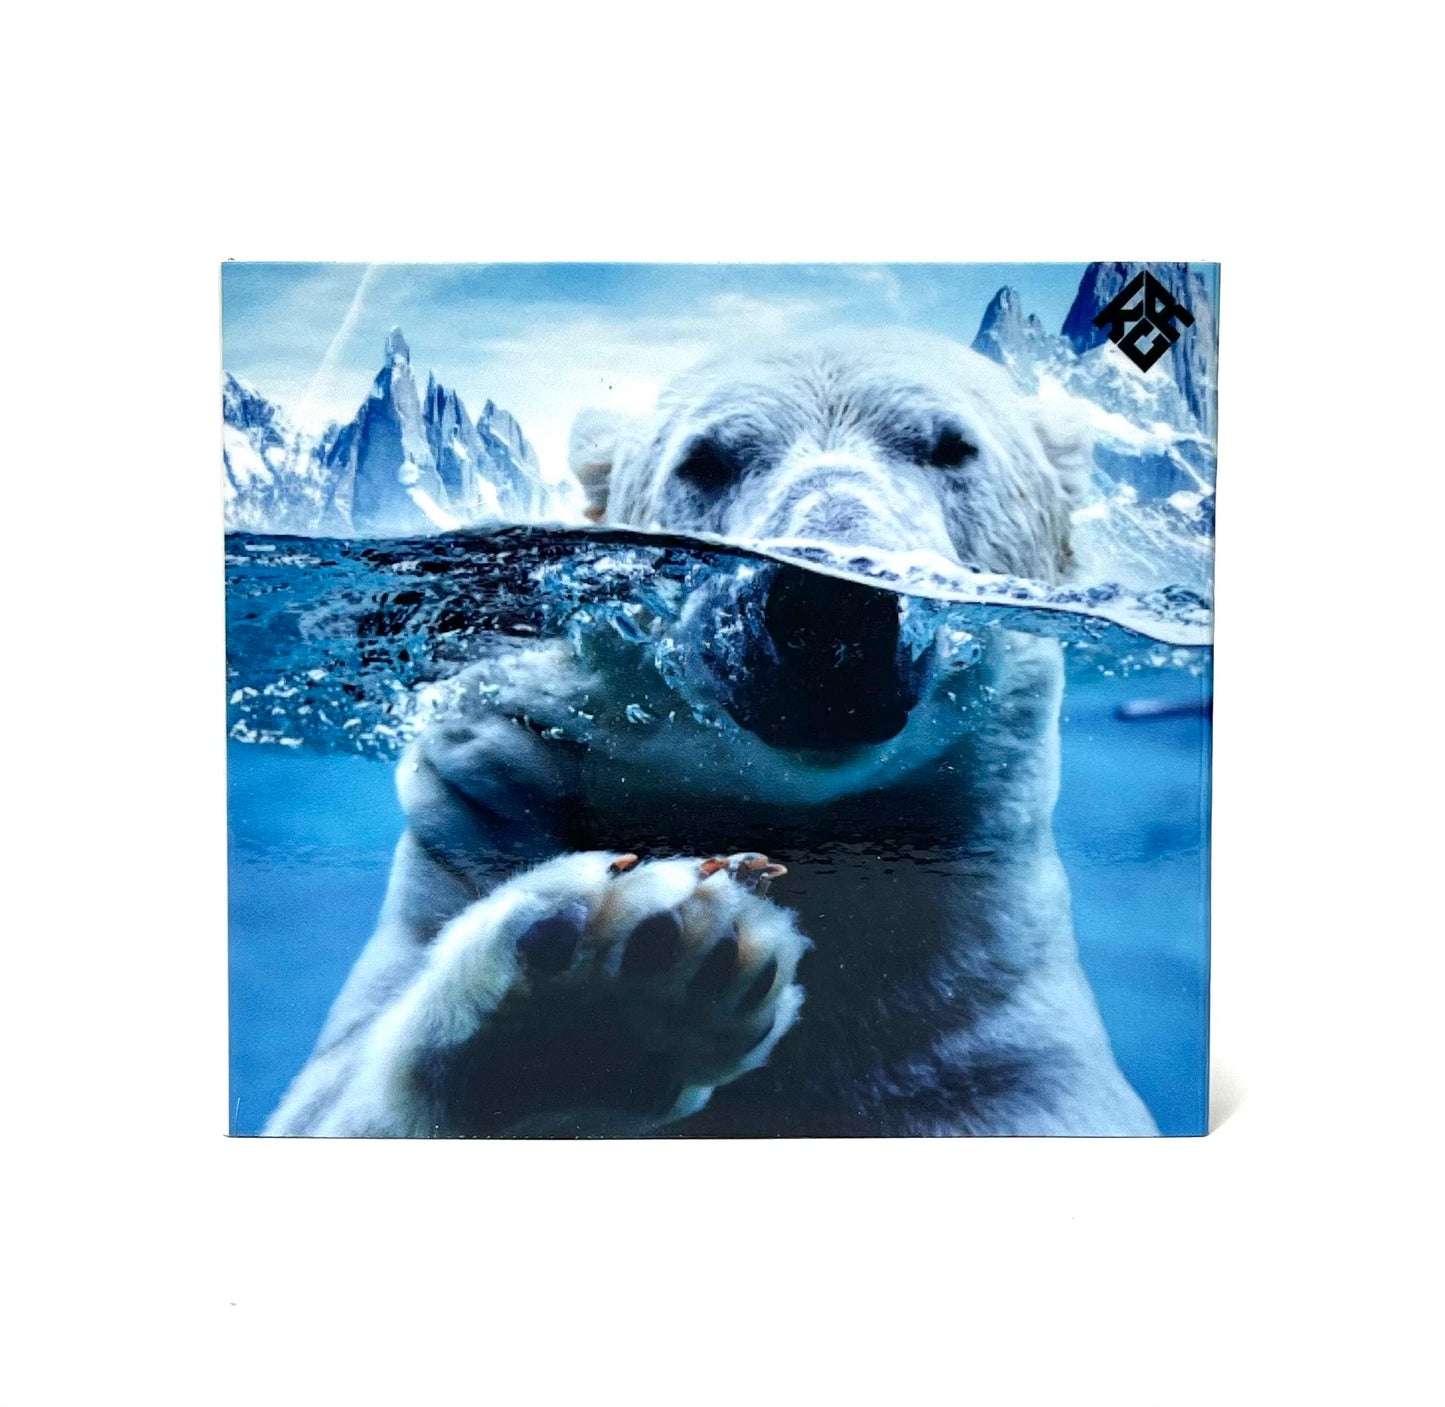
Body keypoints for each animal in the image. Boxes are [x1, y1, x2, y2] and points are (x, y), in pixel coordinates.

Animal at [265, 330, 1158, 1137]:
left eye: (950, 446)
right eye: (705, 460)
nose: (830, 603)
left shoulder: (988, 1041)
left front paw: (623, 986)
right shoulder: (485, 811)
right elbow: (330, 1102)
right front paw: (602, 995)